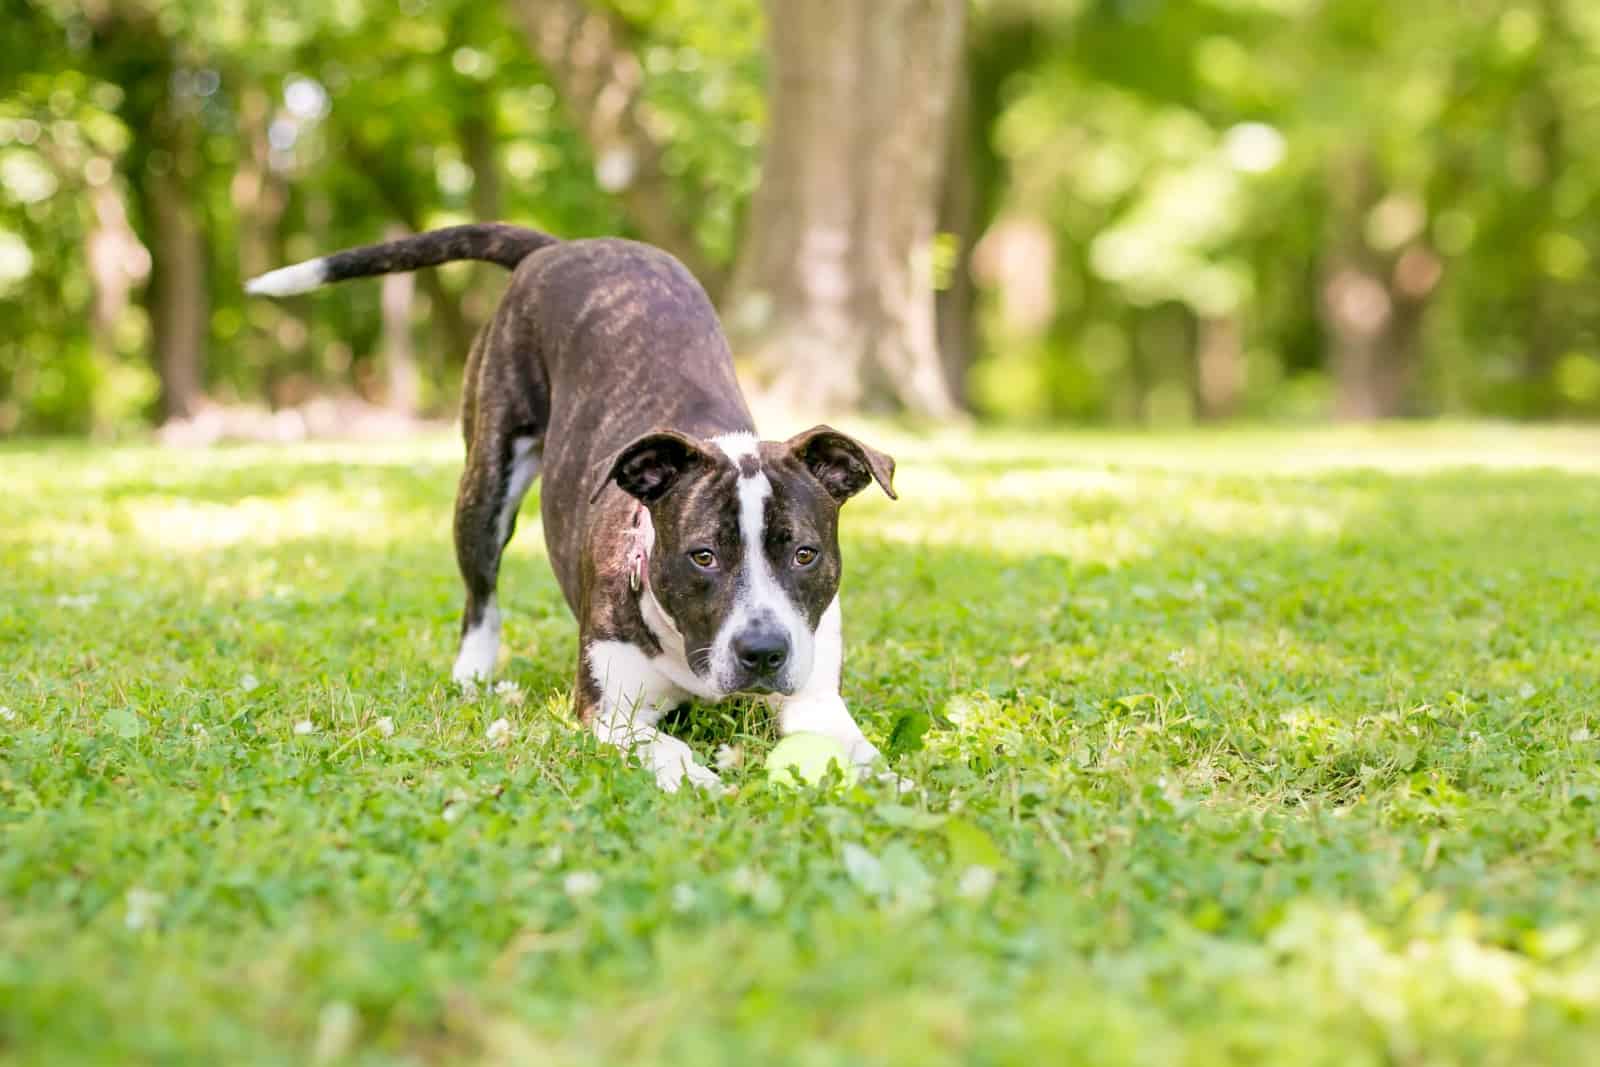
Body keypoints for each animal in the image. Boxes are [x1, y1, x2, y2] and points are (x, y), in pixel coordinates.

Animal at [249, 223, 902, 793]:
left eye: (804, 554)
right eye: (704, 556)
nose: (763, 652)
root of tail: (563, 246)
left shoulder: (815, 699)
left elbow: (854, 747)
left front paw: (893, 784)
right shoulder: (610, 715)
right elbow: (668, 746)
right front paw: (697, 780)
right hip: (486, 483)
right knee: (480, 595)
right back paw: (473, 676)